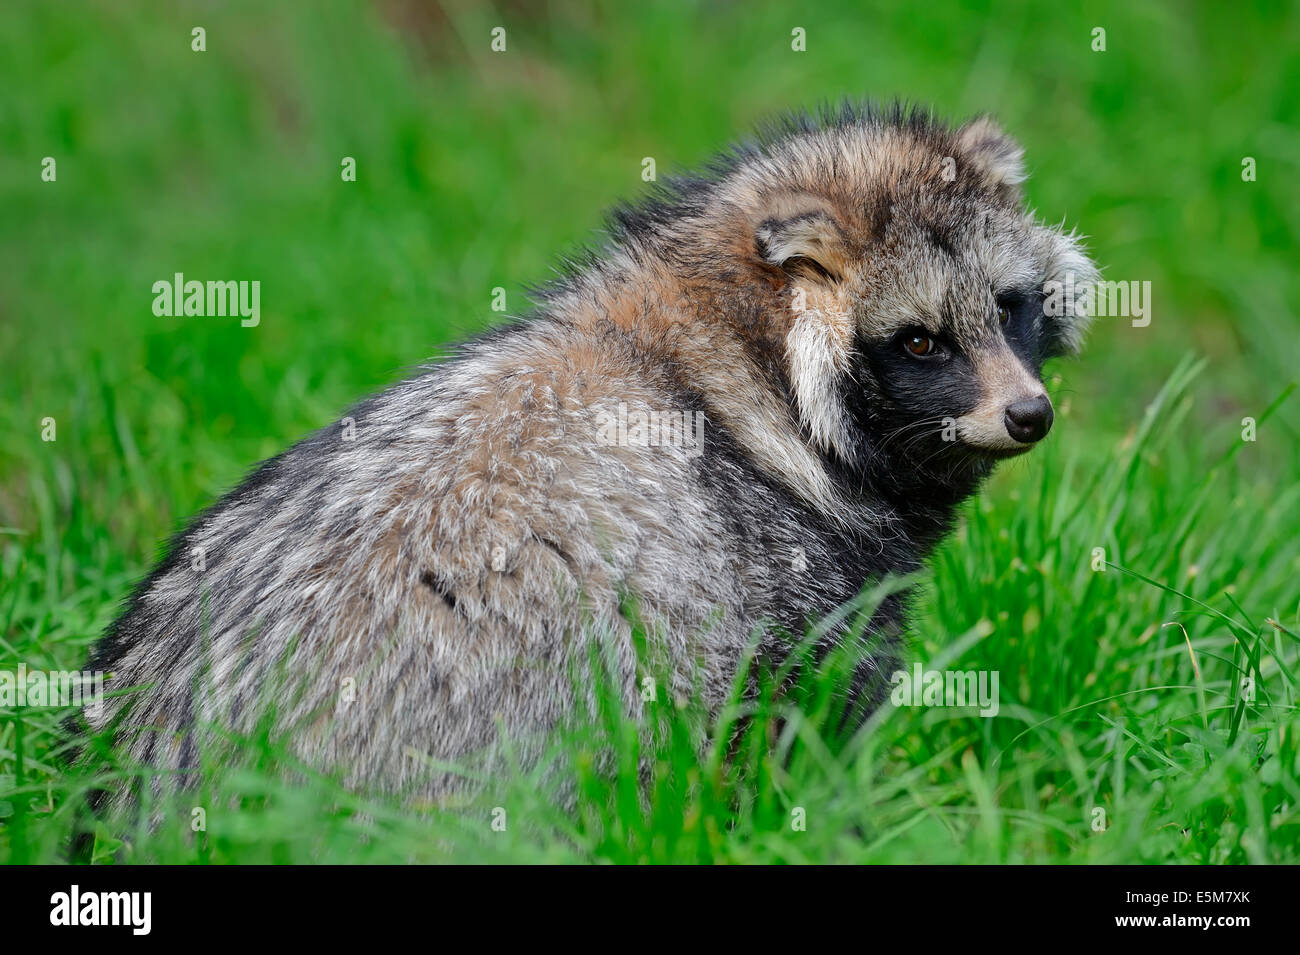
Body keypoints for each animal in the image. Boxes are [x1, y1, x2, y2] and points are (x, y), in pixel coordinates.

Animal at [83, 104, 1097, 805]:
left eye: (1009, 306)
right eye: (921, 341)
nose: (1030, 414)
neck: (729, 367)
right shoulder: (781, 588)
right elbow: (793, 743)